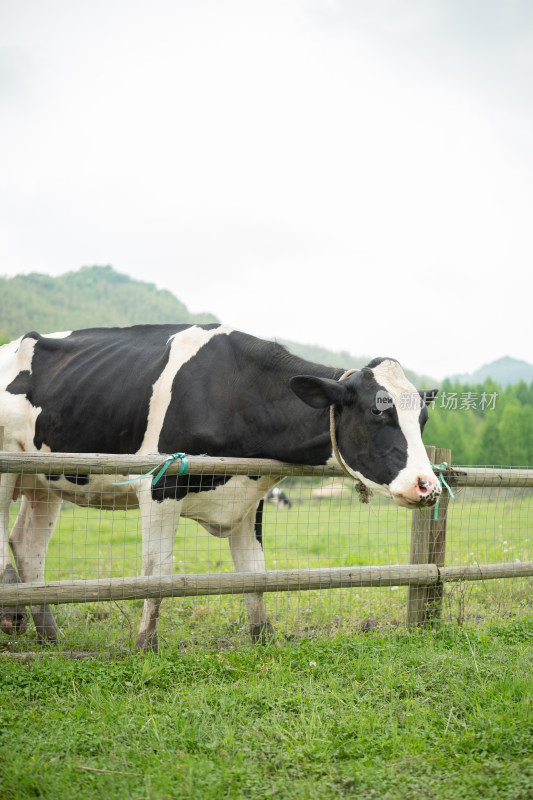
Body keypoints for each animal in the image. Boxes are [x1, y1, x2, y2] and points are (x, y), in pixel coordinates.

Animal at [0, 324, 440, 648]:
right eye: (376, 412)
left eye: (422, 419)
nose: (427, 486)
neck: (234, 391)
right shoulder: (159, 486)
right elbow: (157, 571)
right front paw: (145, 645)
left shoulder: (249, 495)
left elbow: (254, 572)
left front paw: (263, 638)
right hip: (7, 467)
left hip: (45, 480)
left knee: (28, 546)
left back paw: (51, 636)